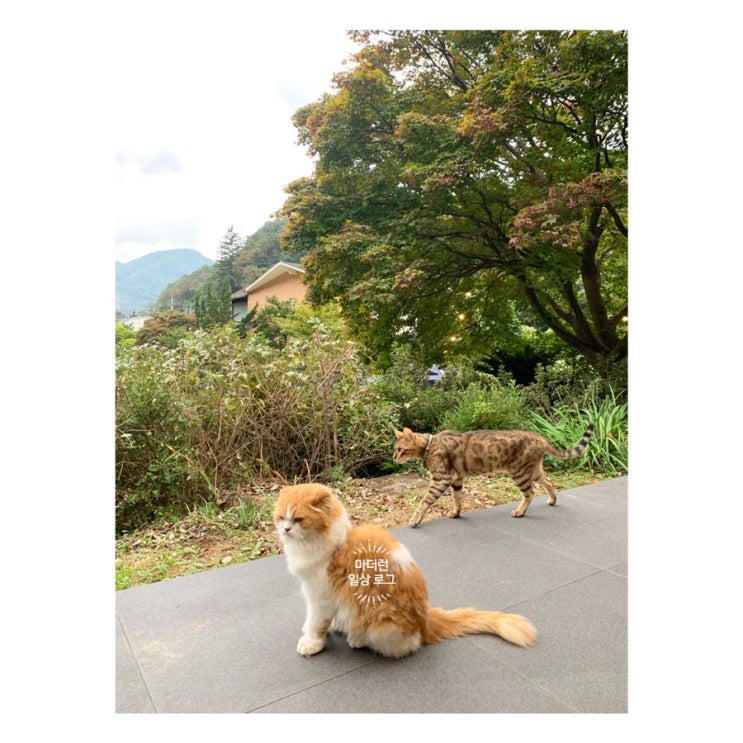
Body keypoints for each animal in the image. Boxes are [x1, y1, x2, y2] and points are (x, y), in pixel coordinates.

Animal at [274, 483, 537, 658]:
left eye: (298, 519)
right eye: (280, 517)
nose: (285, 530)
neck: (336, 541)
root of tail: (425, 619)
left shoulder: (320, 596)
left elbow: (316, 623)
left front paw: (311, 643)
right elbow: (315, 621)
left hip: (381, 622)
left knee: (402, 645)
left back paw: (356, 638)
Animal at [394, 424, 595, 527]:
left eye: (399, 449)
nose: (394, 458)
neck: (430, 444)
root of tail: (540, 437)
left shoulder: (441, 479)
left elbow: (424, 501)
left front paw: (414, 520)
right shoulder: (456, 479)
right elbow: (457, 498)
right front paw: (456, 513)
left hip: (519, 472)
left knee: (529, 493)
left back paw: (520, 511)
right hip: (534, 471)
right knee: (550, 482)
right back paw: (552, 500)